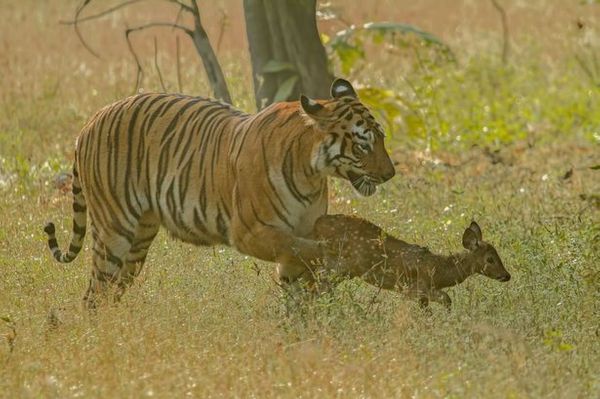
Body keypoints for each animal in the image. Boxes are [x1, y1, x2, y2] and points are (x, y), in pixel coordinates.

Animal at [44, 79, 396, 310]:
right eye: (363, 145)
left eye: (382, 138)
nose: (390, 174)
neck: (311, 172)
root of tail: (90, 121)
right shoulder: (249, 232)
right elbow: (300, 248)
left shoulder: (301, 229)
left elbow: (298, 285)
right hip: (115, 229)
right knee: (94, 294)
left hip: (138, 240)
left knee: (112, 291)